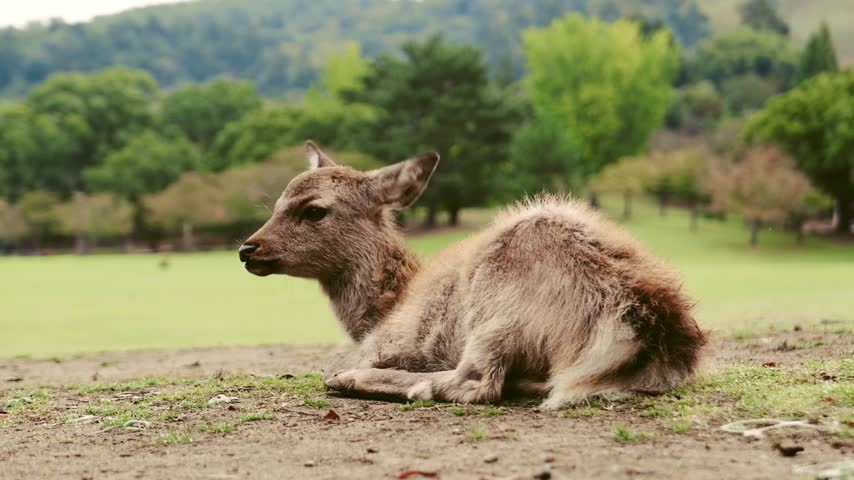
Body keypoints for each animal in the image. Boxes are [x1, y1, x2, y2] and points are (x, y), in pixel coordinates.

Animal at [238, 141, 707, 409]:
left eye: (314, 210)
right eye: (275, 203)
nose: (247, 249)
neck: (385, 305)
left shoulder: (389, 341)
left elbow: (331, 366)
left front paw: (349, 374)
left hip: (498, 304)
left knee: (477, 382)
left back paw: (376, 383)